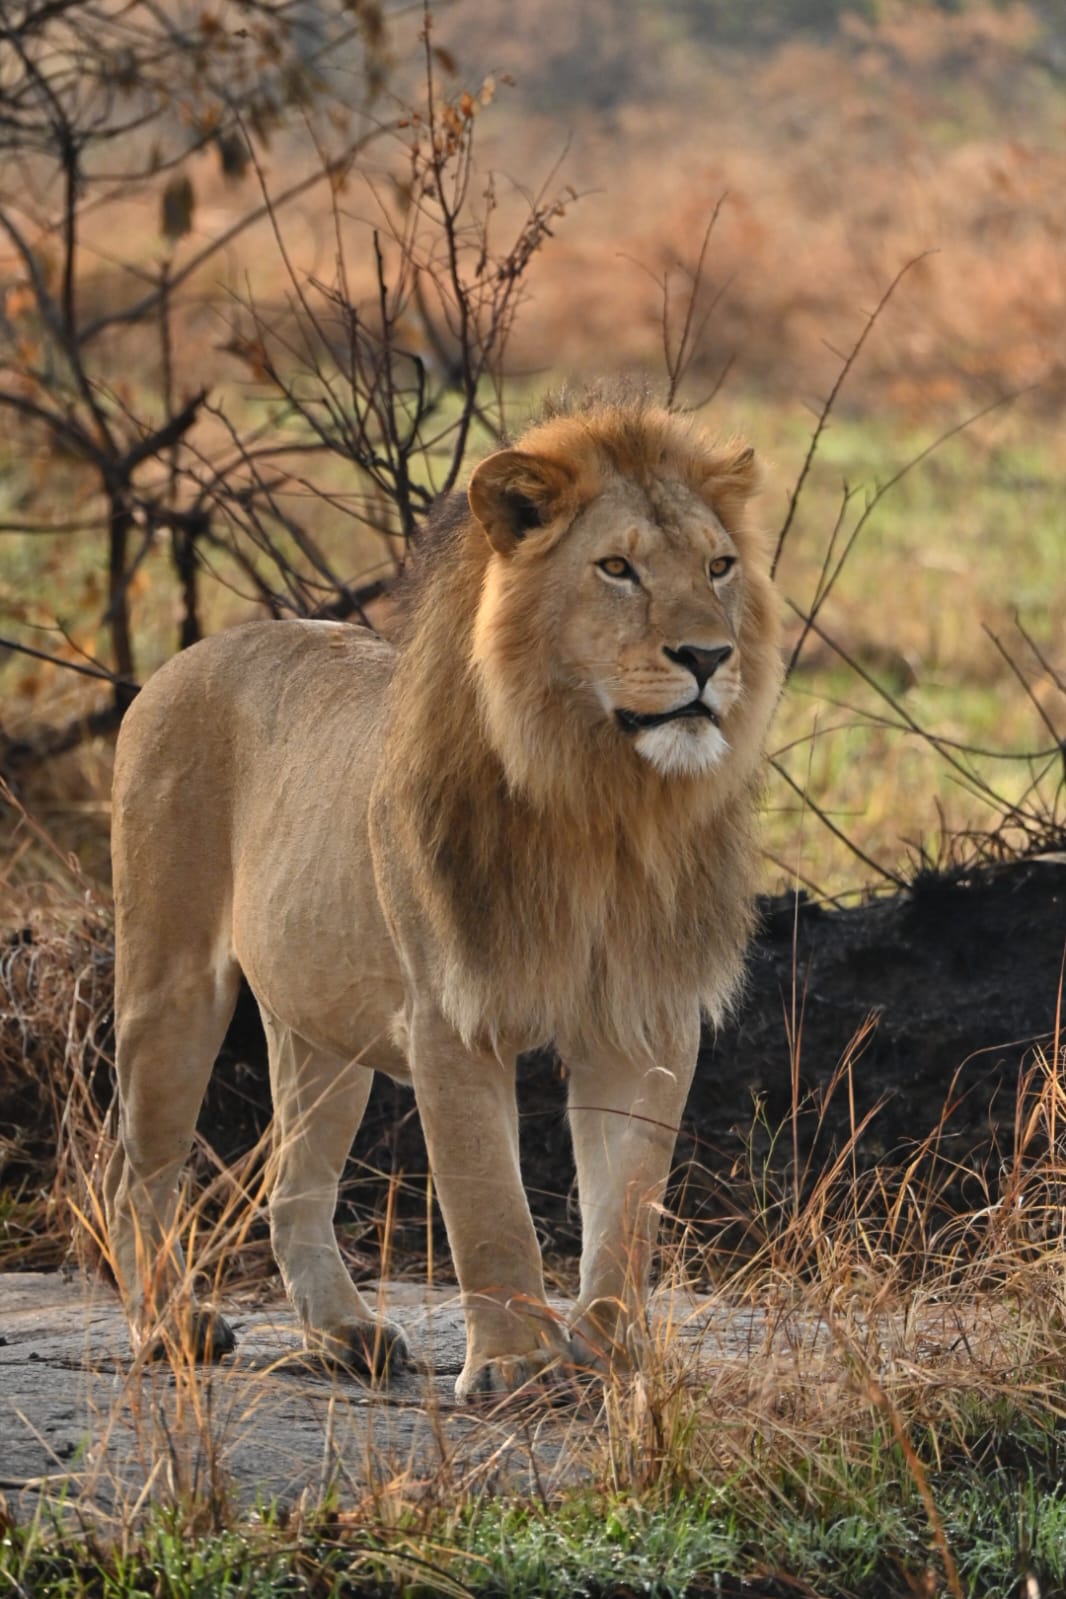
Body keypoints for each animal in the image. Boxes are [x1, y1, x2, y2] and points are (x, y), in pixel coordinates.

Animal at [103, 390, 783, 1399]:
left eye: (719, 565)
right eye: (616, 568)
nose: (708, 655)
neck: (605, 802)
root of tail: (192, 653)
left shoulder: (645, 1019)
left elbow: (629, 1204)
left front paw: (611, 1356)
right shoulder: (453, 1014)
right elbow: (486, 1201)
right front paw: (515, 1364)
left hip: (321, 1029)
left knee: (291, 1186)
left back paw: (346, 1334)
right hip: (170, 984)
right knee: (139, 1170)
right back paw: (169, 1326)